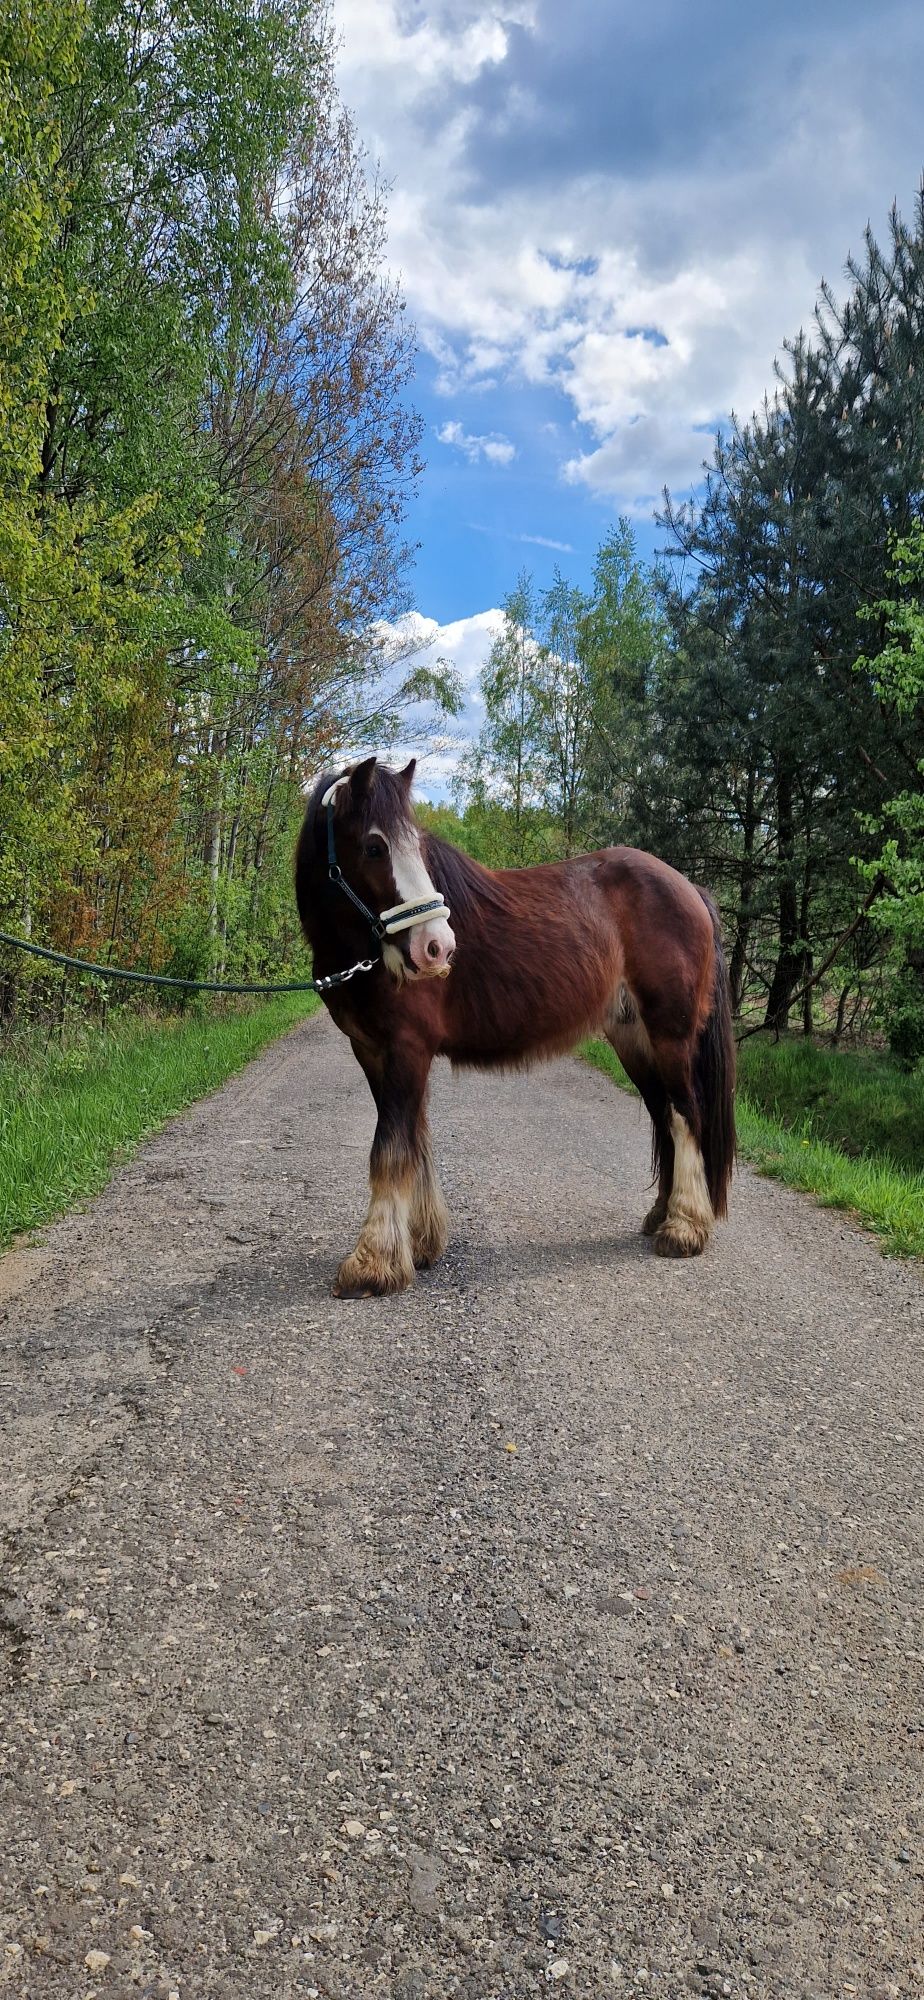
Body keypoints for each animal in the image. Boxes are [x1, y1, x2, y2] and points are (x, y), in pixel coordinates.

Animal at [296, 752, 736, 1296]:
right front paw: (418, 1245)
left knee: (684, 1114)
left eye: (416, 845)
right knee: (663, 1116)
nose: (438, 948)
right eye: (375, 846)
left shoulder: (407, 1050)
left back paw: (684, 1228)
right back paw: (662, 1216)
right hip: (634, 1039)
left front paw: (372, 1264)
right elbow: (414, 1144)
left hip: (670, 1036)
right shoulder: (374, 1052)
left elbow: (390, 1150)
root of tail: (689, 887)